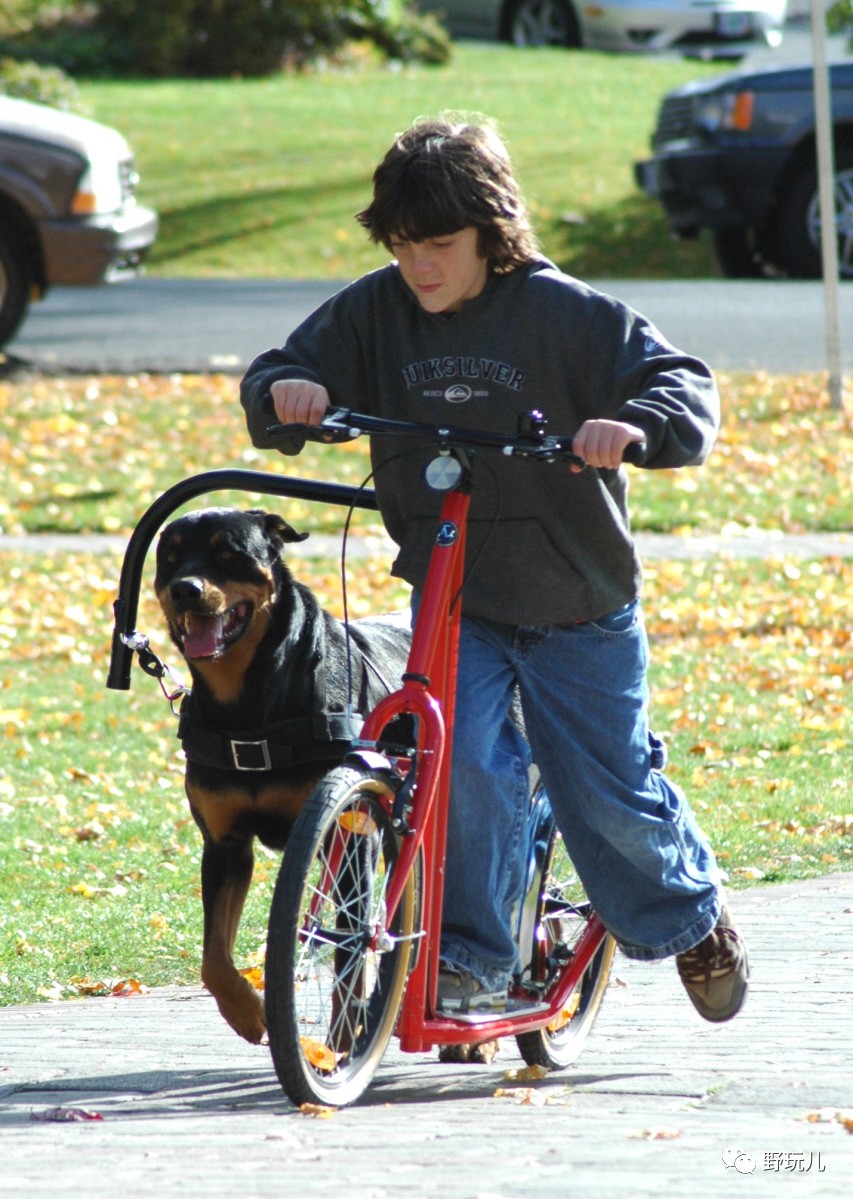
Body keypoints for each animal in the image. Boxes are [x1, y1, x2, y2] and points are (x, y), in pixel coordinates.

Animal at [154, 510, 412, 1045]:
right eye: (170, 558)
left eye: (228, 554)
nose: (186, 588)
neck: (251, 705)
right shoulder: (225, 843)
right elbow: (214, 958)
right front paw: (247, 1011)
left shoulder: (350, 838)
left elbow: (350, 948)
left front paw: (344, 1034)